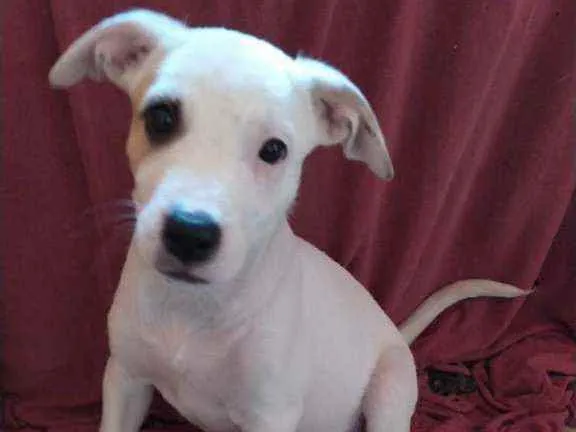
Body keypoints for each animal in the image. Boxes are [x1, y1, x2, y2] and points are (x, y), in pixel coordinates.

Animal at [49, 9, 529, 432]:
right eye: (161, 118)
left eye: (274, 150)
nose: (189, 233)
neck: (193, 308)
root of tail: (394, 330)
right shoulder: (124, 380)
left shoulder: (269, 414)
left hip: (389, 392)